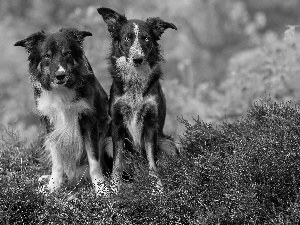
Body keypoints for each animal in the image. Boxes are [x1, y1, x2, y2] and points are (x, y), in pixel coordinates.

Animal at [14, 27, 110, 195]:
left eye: (67, 53)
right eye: (47, 55)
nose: (60, 75)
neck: (61, 90)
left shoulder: (88, 120)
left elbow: (94, 158)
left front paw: (100, 187)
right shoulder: (50, 122)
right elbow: (57, 158)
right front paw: (54, 185)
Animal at [98, 7, 178, 193]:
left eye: (146, 38)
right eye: (127, 38)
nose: (138, 59)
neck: (135, 80)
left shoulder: (151, 122)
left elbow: (152, 162)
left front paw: (157, 188)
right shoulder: (117, 123)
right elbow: (118, 162)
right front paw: (115, 189)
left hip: (169, 144)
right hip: (107, 143)